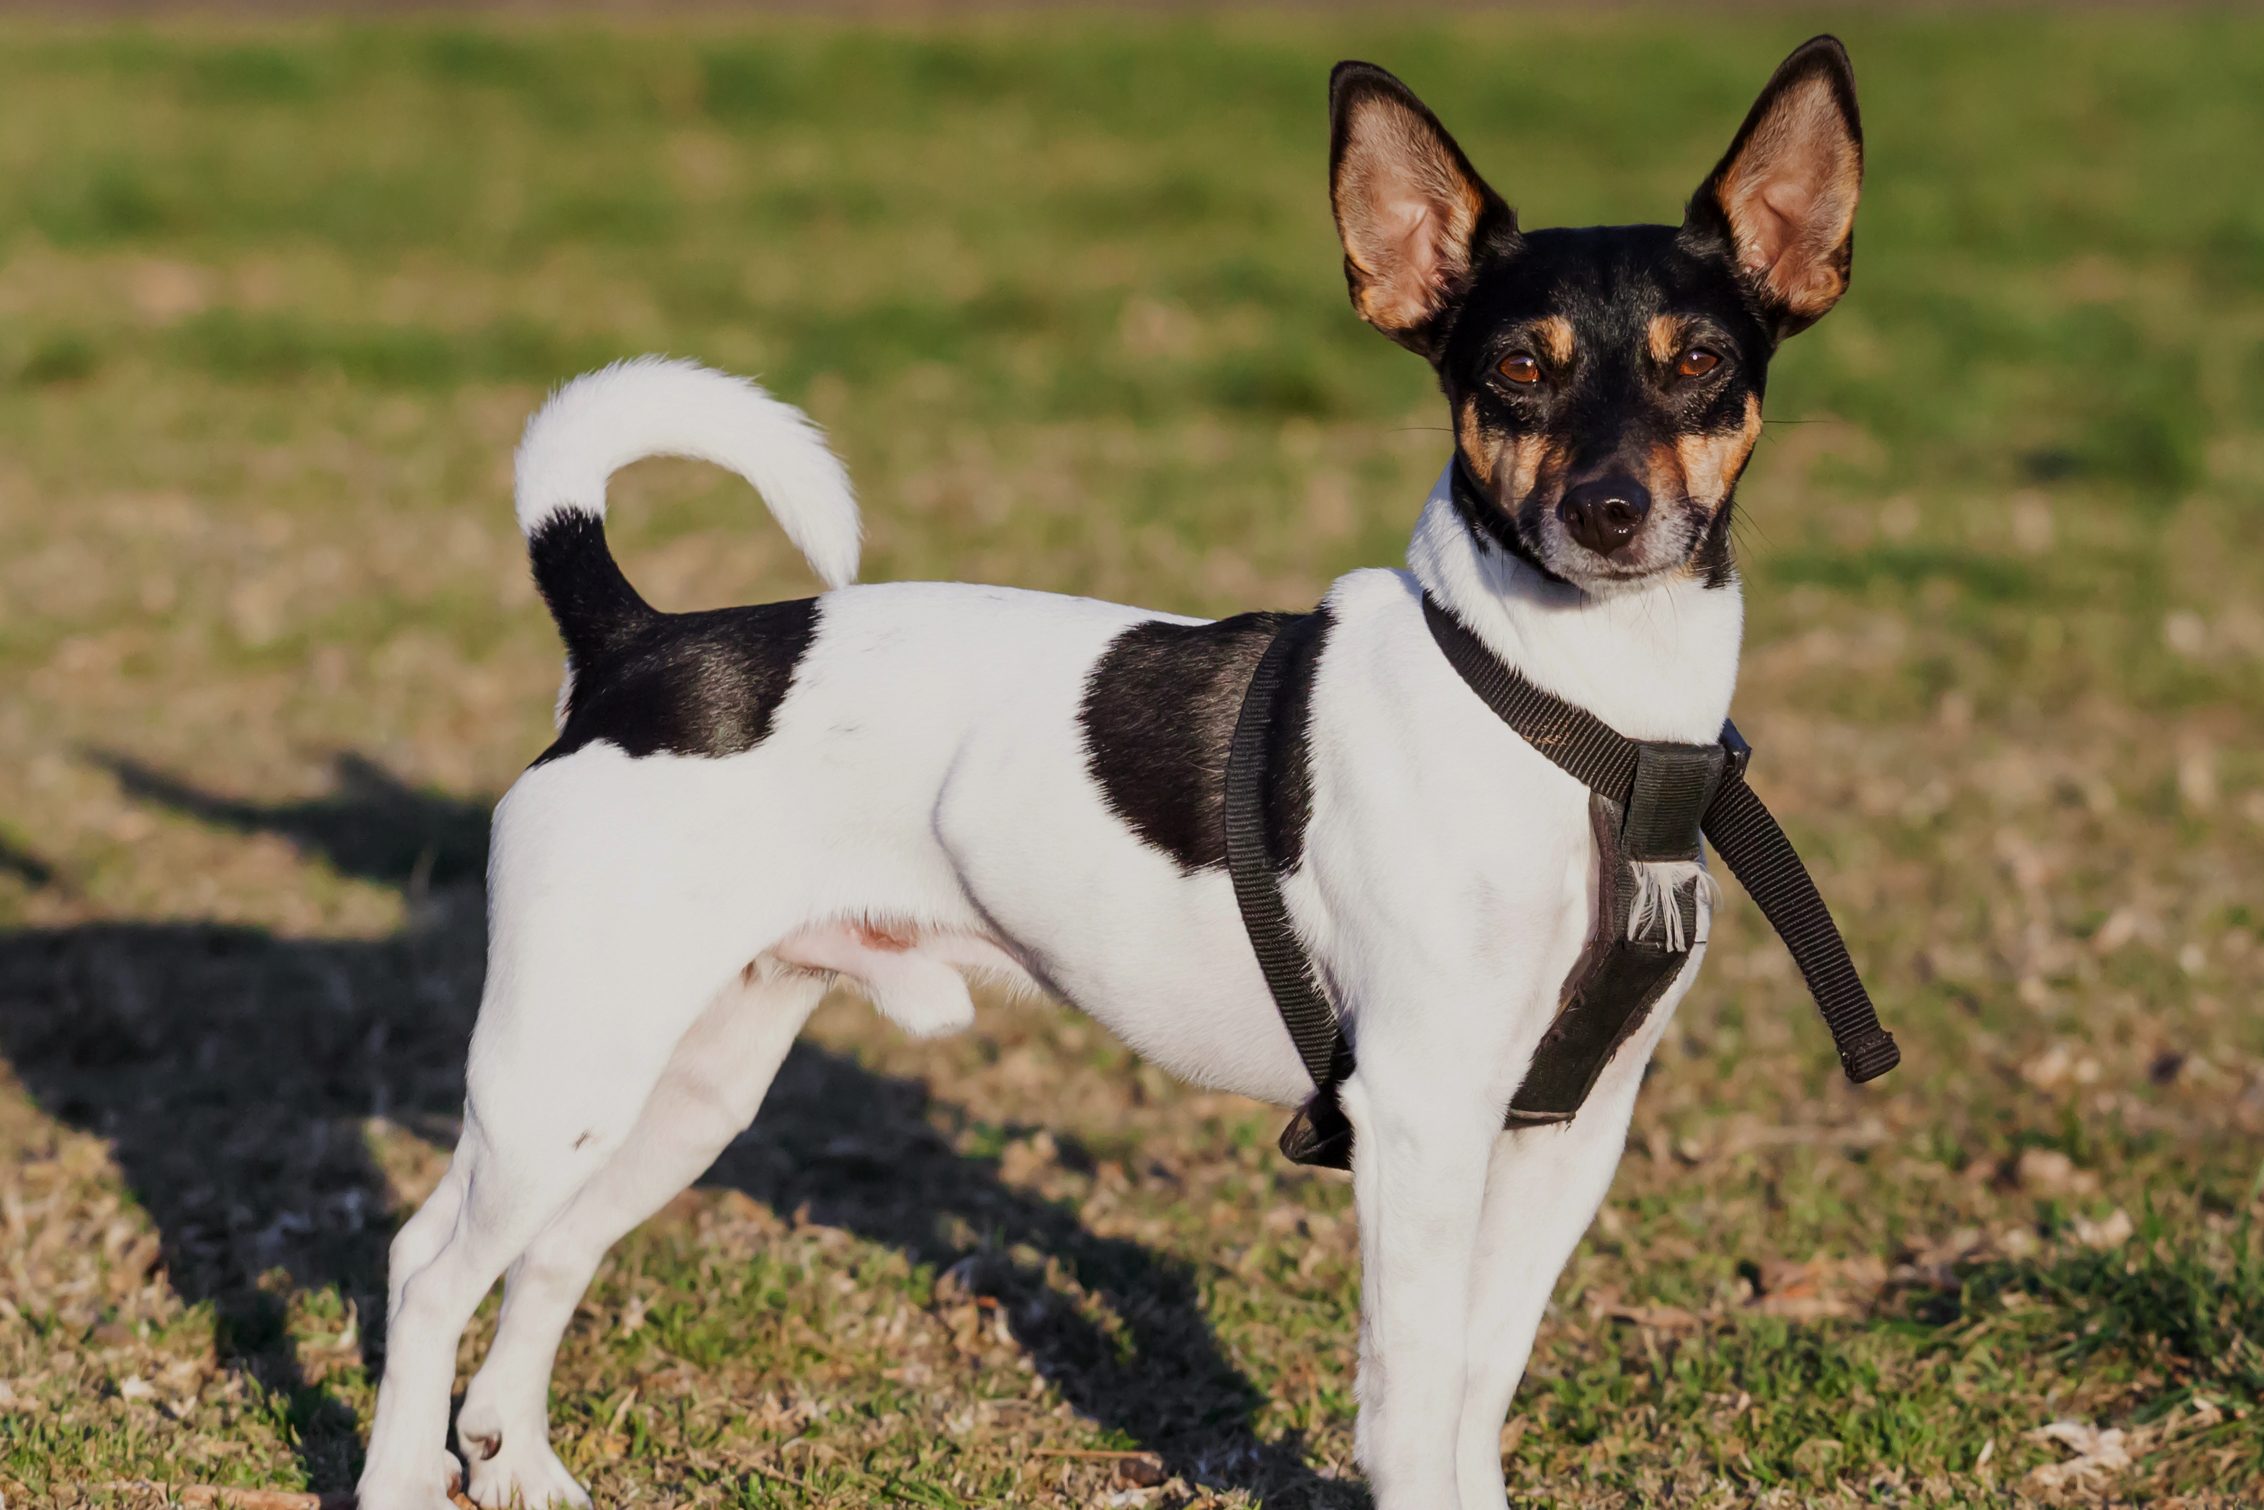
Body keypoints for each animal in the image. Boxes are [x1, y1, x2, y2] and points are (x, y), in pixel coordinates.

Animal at [357, 35, 1874, 1510]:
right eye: (1515, 371)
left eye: (1697, 362)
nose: (1607, 512)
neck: (1571, 712)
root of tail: (634, 640)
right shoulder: (1422, 1115)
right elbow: (1412, 1412)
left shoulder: (1568, 1130)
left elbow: (1475, 1397)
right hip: (564, 1067)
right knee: (429, 1264)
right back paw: (404, 1476)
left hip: (683, 1083)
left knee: (551, 1255)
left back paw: (516, 1458)